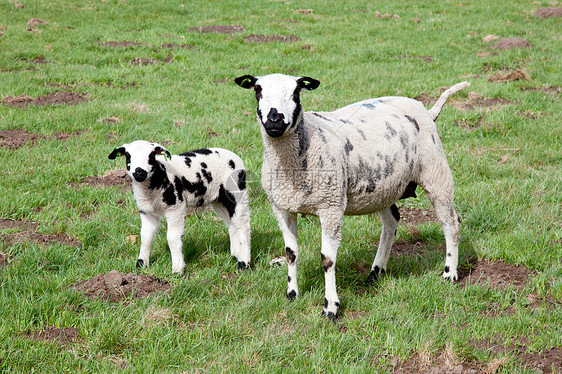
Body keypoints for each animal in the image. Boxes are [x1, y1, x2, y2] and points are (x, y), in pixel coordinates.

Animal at [108, 140, 248, 272]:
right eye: (128, 156)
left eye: (151, 155)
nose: (139, 172)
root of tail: (235, 157)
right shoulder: (146, 211)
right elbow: (145, 237)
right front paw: (141, 264)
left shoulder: (175, 208)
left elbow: (172, 238)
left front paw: (177, 268)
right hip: (219, 200)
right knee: (231, 223)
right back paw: (235, 254)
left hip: (236, 192)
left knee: (243, 225)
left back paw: (243, 263)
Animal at [234, 74, 466, 320]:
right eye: (257, 90)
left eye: (296, 92)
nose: (275, 119)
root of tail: (427, 110)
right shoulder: (281, 207)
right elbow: (291, 253)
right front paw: (292, 293)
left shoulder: (331, 207)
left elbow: (327, 259)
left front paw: (330, 307)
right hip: (383, 186)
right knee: (391, 222)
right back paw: (375, 272)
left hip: (435, 172)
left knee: (451, 223)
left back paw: (449, 273)